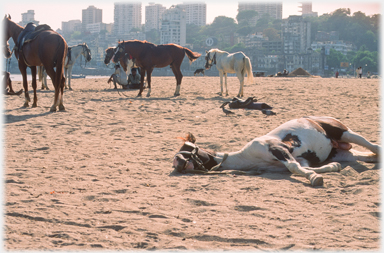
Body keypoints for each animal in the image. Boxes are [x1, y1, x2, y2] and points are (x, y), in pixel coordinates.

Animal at [174, 116, 380, 186]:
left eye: (188, 150)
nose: (177, 164)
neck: (246, 157)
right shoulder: (300, 161)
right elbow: (303, 167)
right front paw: (332, 168)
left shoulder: (279, 149)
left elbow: (295, 168)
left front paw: (315, 179)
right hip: (343, 152)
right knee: (366, 156)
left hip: (345, 132)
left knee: (372, 145)